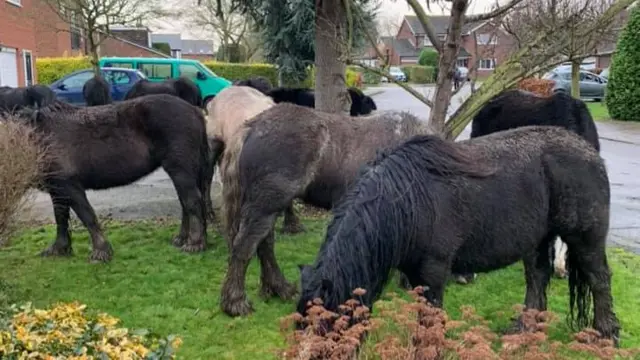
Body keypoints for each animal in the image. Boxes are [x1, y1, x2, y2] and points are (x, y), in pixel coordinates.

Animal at [12, 93, 209, 262]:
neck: (39, 137)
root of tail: (194, 111)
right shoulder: (57, 189)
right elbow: (60, 217)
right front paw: (59, 248)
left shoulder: (70, 186)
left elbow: (87, 215)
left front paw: (101, 251)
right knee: (185, 202)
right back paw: (183, 238)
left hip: (180, 169)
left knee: (191, 201)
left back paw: (194, 243)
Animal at [218, 101, 432, 316]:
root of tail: (251, 126)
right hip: (266, 207)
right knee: (244, 247)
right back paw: (236, 303)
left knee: (264, 245)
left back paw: (280, 288)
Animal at [298, 126, 620, 346]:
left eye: (328, 329)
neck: (407, 200)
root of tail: (592, 154)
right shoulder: (414, 273)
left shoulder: (434, 270)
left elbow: (430, 317)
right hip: (537, 241)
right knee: (537, 278)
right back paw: (524, 331)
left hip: (584, 240)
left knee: (599, 280)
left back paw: (606, 336)